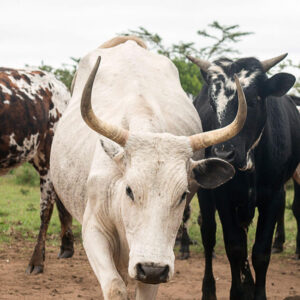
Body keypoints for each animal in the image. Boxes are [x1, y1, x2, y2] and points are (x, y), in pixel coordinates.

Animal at [188, 54, 300, 300]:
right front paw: (236, 293)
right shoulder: (223, 196)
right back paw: (209, 290)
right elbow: (235, 246)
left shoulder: (275, 195)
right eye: (213, 104)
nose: (222, 154)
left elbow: (261, 252)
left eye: (255, 100)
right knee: (209, 235)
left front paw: (256, 292)